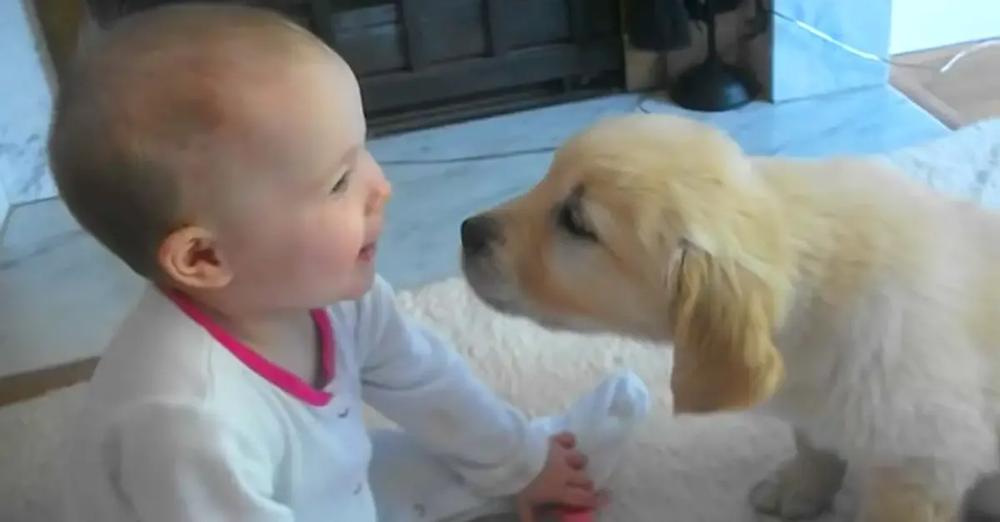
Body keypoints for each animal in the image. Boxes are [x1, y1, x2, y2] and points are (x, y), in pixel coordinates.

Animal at [458, 115, 1000, 520]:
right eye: (547, 177)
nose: (467, 231)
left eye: (575, 222)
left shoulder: (923, 461)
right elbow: (814, 445)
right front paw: (799, 488)